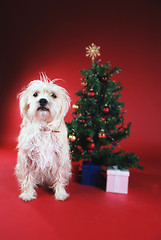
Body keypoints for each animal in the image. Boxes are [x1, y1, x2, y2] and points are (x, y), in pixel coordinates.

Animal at [15, 74, 71, 202]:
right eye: (35, 94)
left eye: (53, 95)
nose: (43, 100)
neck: (44, 126)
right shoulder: (26, 157)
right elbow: (27, 176)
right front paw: (27, 194)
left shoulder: (60, 157)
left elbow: (59, 176)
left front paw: (60, 193)